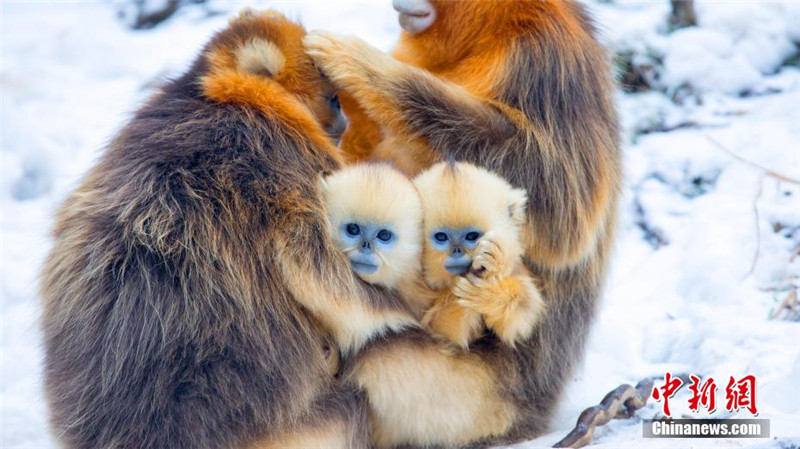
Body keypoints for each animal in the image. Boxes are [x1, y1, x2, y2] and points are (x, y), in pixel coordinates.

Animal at [304, 1, 620, 446]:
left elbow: (563, 215)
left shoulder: (547, 61)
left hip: (488, 401)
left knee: (382, 355)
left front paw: (358, 63)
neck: (494, 32)